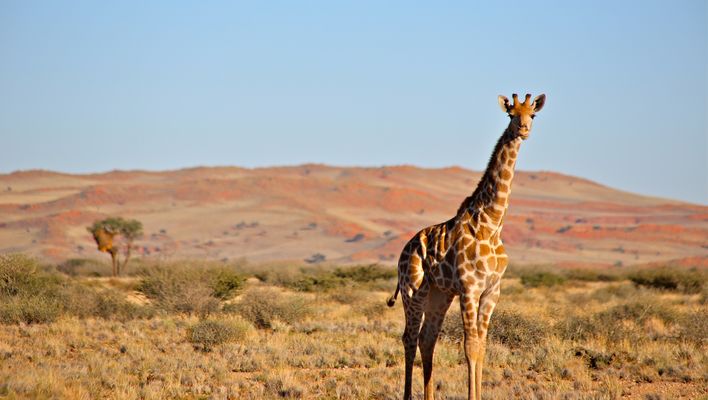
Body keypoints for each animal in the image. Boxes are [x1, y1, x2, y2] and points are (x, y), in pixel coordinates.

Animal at [387, 93, 546, 400]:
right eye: (511, 115)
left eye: (532, 115)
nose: (523, 130)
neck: (492, 223)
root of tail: (404, 250)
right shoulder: (470, 288)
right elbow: (470, 346)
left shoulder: (492, 290)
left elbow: (482, 347)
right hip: (413, 291)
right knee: (409, 338)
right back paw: (408, 396)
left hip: (439, 294)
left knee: (427, 339)